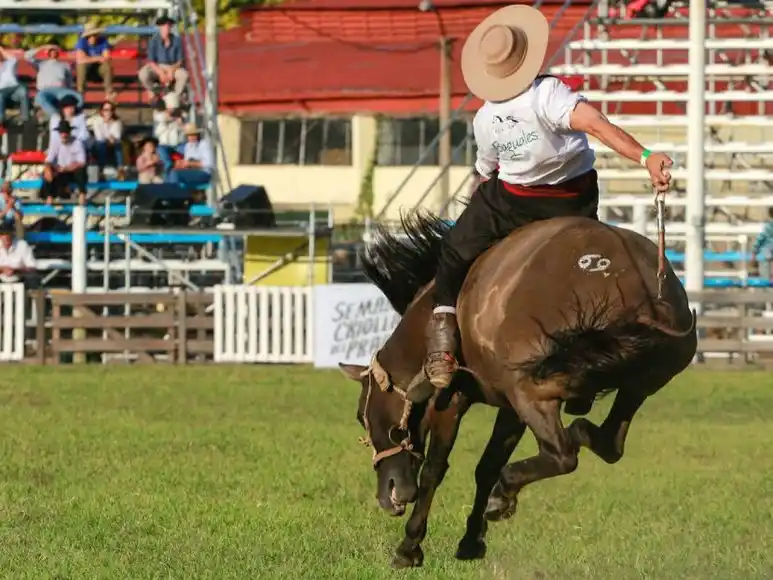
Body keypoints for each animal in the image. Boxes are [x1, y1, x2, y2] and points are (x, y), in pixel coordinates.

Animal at [338, 211, 697, 569]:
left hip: (534, 391)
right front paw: (471, 541)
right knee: (607, 443)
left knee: (562, 454)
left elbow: (434, 470)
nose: (389, 495)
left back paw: (506, 492)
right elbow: (486, 466)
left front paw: (409, 547)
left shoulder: (452, 399)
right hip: (638, 383)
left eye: (360, 416)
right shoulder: (509, 407)